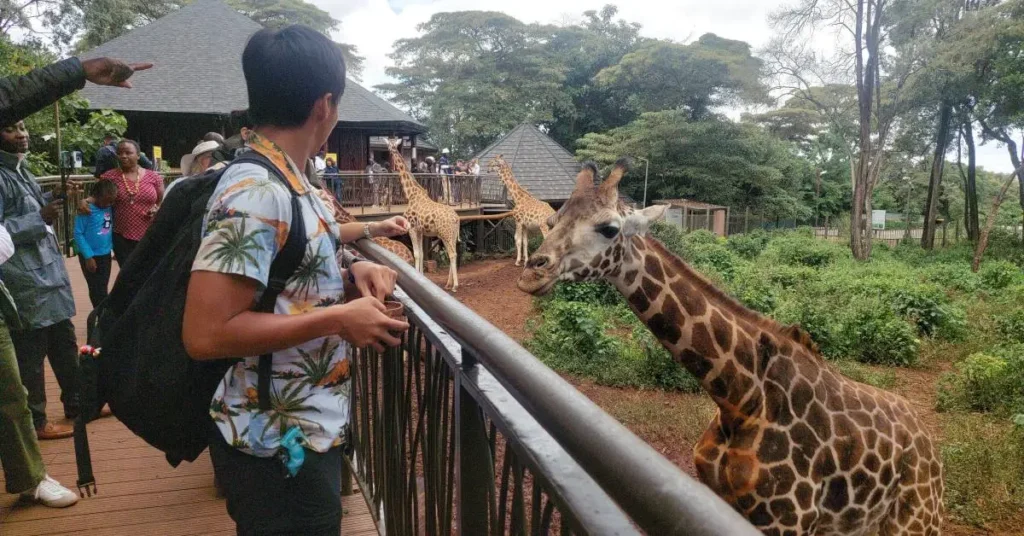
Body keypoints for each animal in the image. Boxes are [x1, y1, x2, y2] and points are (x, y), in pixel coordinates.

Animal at [386, 138, 463, 291]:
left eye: (390, 145)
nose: (389, 152)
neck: (411, 194)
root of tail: (457, 218)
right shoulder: (420, 230)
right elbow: (421, 254)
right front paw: (421, 276)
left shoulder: (411, 227)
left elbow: (416, 254)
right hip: (450, 234)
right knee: (454, 253)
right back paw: (448, 283)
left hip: (445, 234)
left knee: (452, 254)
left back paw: (455, 286)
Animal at [517, 161, 943, 536]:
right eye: (552, 222)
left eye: (609, 228)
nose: (531, 274)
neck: (738, 398)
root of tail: (930, 443)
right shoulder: (722, 499)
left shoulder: (788, 521)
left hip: (917, 520)